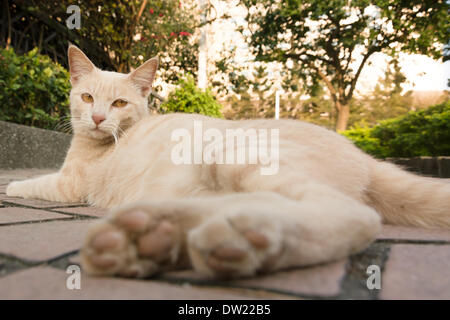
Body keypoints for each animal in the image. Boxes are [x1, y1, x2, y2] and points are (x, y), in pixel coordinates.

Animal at [6, 45, 450, 278]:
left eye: (117, 103)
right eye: (86, 98)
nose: (98, 117)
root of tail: (365, 156)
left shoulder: (68, 184)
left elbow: (35, 182)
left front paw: (11, 185)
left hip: (237, 158)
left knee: (352, 214)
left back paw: (239, 240)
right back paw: (154, 237)